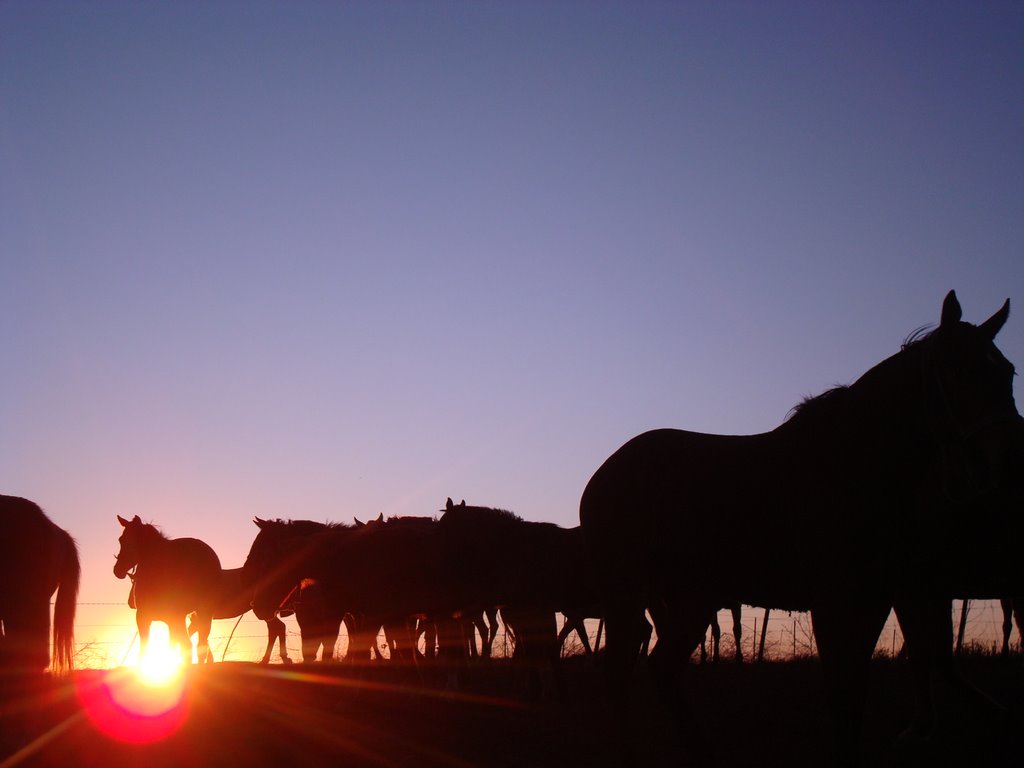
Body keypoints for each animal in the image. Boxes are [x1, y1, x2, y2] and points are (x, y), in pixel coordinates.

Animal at [114, 514, 222, 663]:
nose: (117, 570)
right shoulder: (171, 621)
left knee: (189, 645)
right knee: (199, 646)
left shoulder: (143, 617)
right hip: (201, 613)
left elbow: (144, 649)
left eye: (123, 540)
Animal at [581, 290, 1019, 765]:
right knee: (620, 675)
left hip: (689, 598)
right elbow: (842, 699)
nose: (1006, 461)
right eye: (955, 369)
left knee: (663, 670)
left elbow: (856, 698)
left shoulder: (876, 600)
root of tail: (602, 476)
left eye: (1008, 373)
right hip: (628, 594)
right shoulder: (832, 603)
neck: (851, 467)